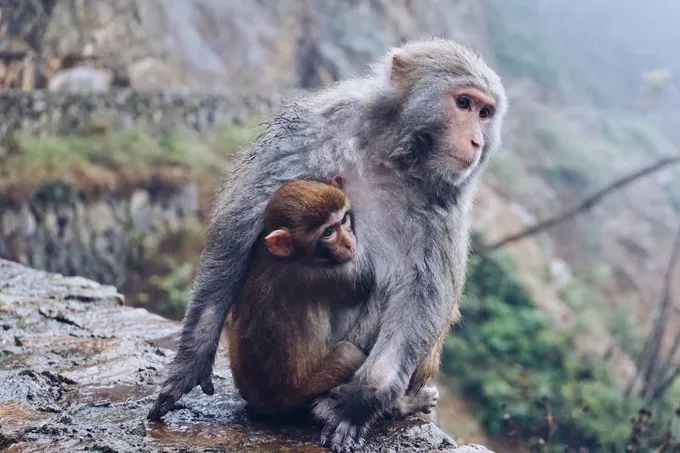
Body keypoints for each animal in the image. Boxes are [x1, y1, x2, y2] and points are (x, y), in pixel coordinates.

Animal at [227, 176, 366, 414]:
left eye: (344, 220)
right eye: (328, 232)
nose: (349, 242)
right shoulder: (321, 275)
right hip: (299, 394)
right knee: (348, 355)